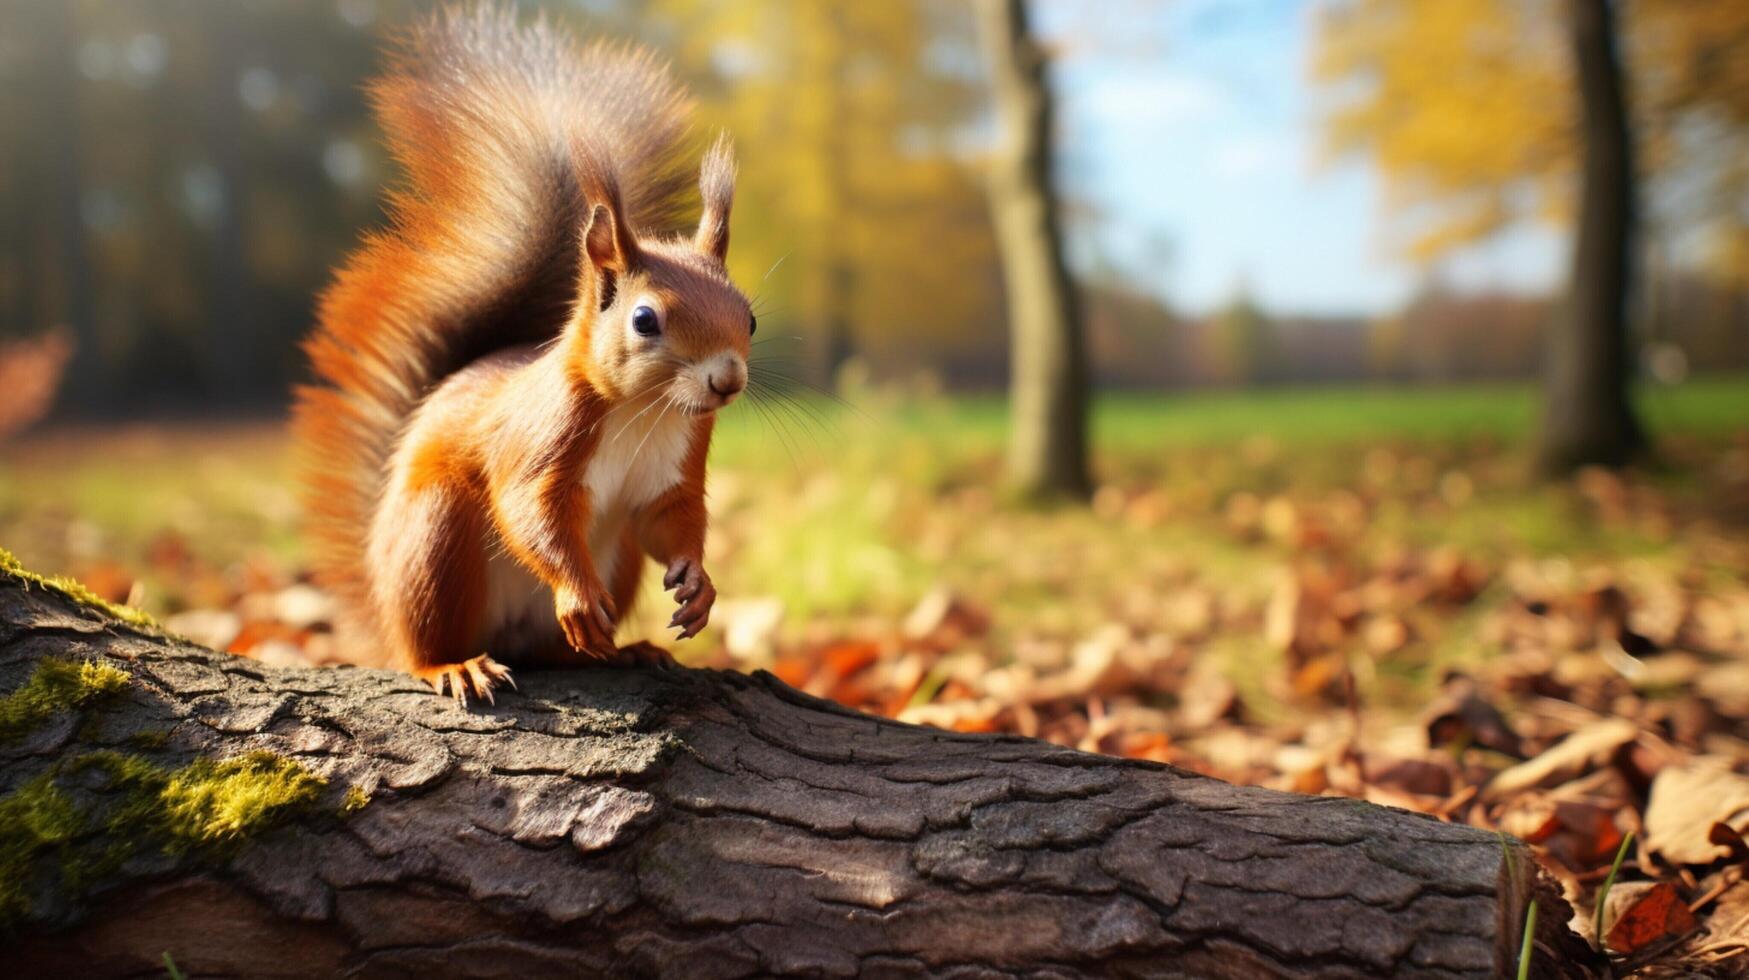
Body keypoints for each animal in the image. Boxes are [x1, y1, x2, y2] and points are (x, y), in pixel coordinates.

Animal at [288, 7, 752, 707]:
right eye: (645, 320)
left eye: (749, 316)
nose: (727, 380)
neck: (643, 412)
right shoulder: (540, 438)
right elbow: (530, 511)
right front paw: (576, 595)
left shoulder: (676, 466)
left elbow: (670, 520)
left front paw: (699, 586)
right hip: (436, 539)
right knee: (427, 641)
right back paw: (455, 665)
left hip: (613, 562)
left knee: (555, 650)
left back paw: (620, 652)